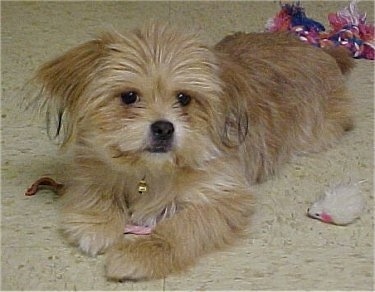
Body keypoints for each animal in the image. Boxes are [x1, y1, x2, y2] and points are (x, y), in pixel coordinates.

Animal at [30, 24, 354, 280]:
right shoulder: (91, 168)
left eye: (184, 98)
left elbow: (182, 227)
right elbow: (96, 191)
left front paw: (141, 254)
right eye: (129, 96)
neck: (150, 171)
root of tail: (314, 48)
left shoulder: (224, 197)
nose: (163, 127)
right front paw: (97, 224)